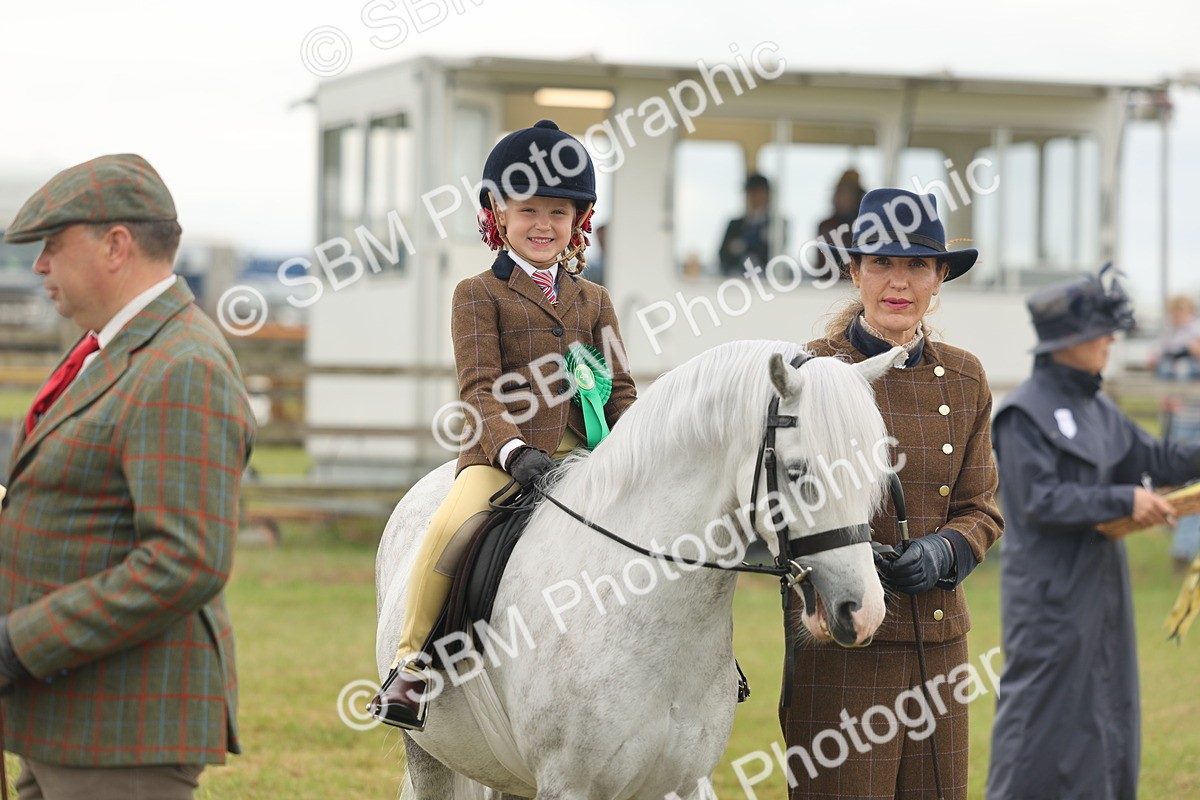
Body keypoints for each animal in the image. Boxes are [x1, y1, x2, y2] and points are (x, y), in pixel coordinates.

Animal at [375, 339, 905, 799]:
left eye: (874, 473)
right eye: (798, 472)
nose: (863, 612)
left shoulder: (684, 783)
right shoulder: (569, 786)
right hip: (429, 755)